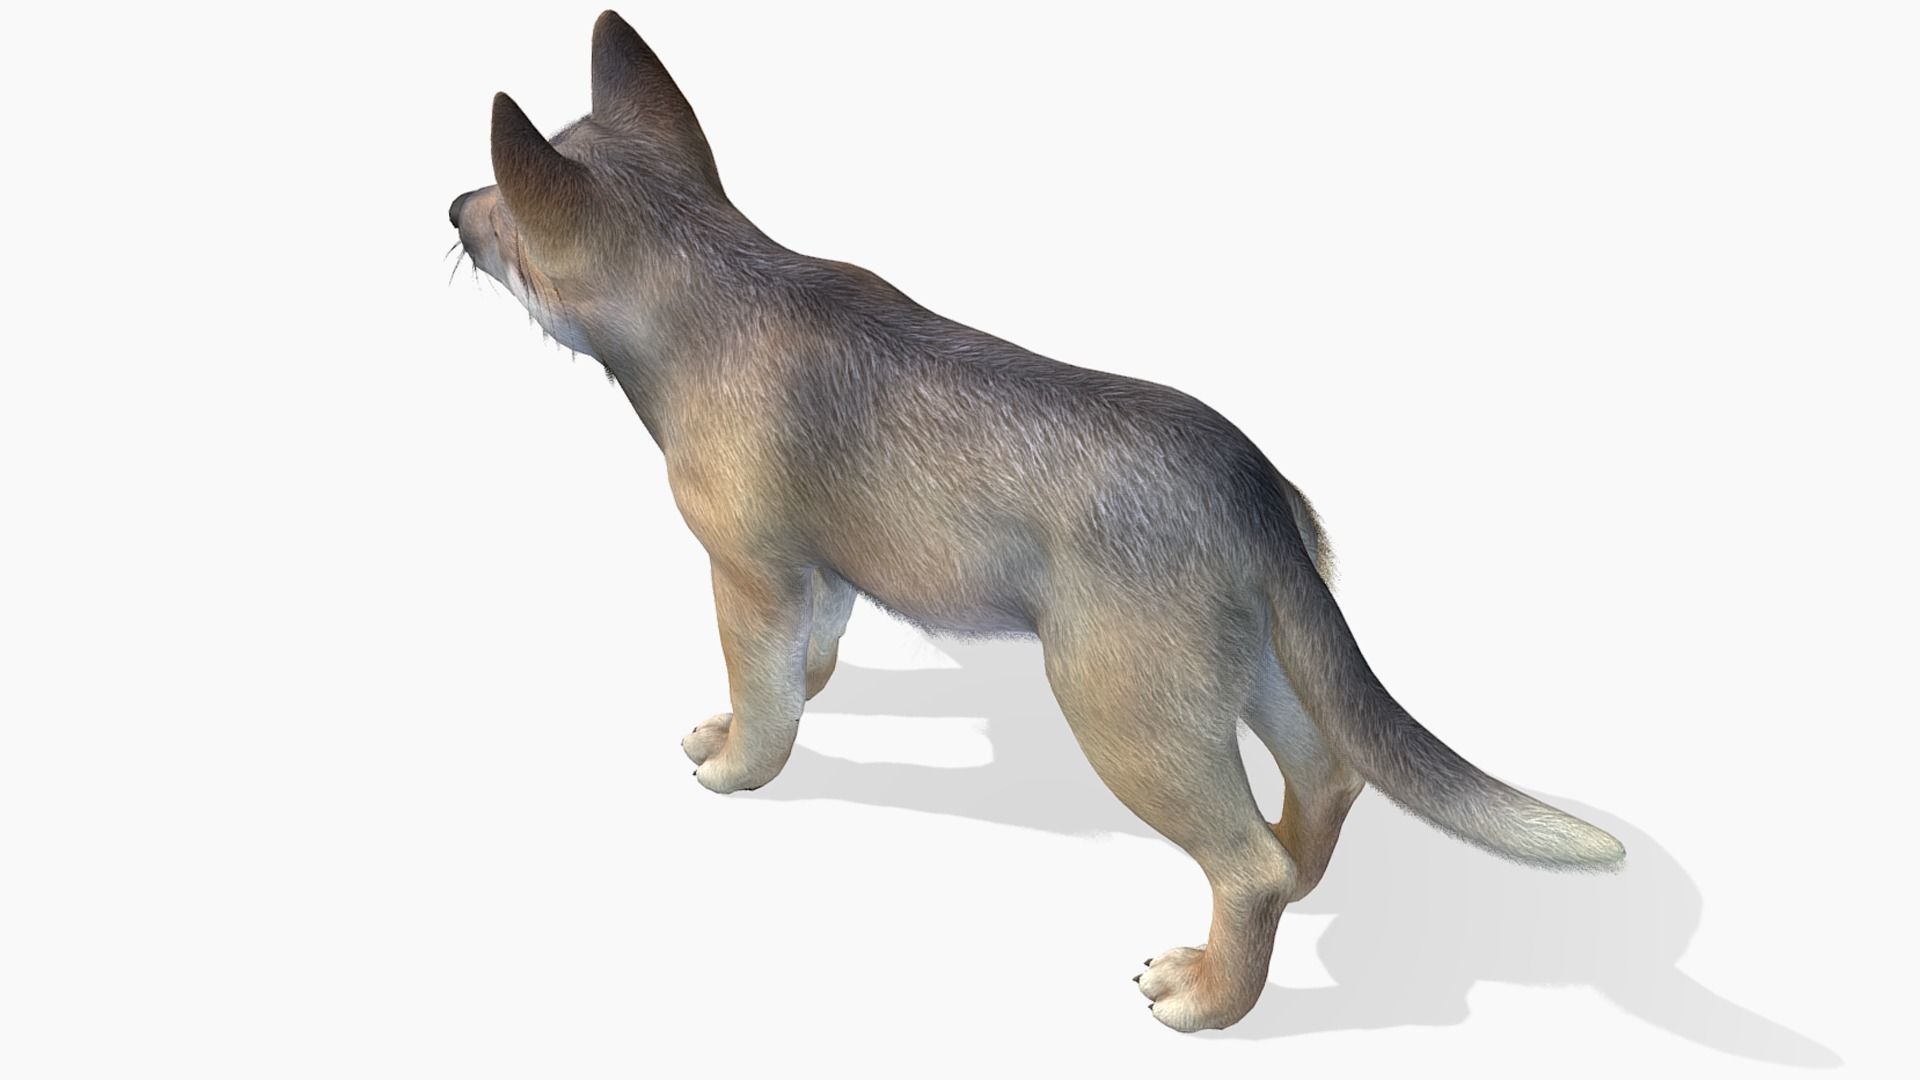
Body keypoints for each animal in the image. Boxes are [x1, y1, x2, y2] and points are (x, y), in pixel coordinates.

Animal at [447, 11, 1625, 1031]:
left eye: (500, 206)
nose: (451, 208)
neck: (708, 290)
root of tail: (1244, 481)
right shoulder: (823, 574)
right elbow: (804, 668)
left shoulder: (748, 572)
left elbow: (766, 698)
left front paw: (738, 764)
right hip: (1253, 672)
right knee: (1324, 787)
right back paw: (1296, 883)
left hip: (1123, 713)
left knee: (1246, 865)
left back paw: (1209, 997)